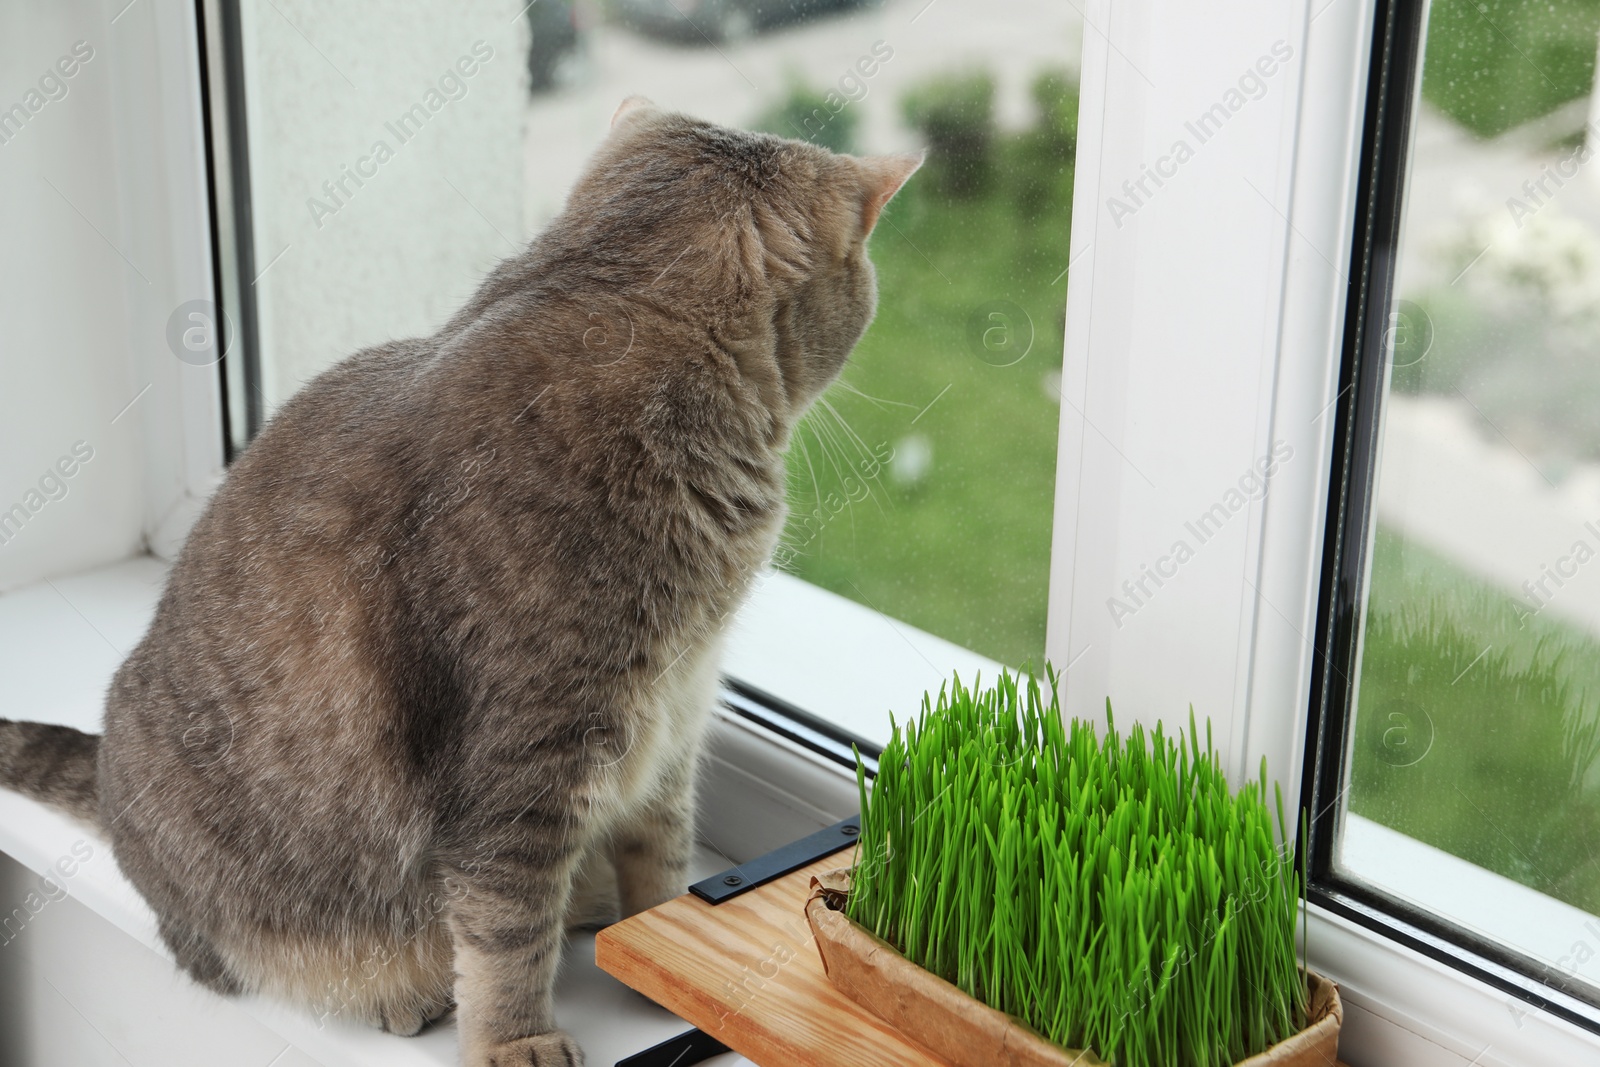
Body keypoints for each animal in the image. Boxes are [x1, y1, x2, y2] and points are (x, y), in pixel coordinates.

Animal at [0, 95, 915, 1062]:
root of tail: (109, 778)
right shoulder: (526, 764)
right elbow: (507, 930)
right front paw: (519, 1038)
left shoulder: (677, 716)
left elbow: (662, 859)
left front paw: (657, 940)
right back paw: (402, 992)